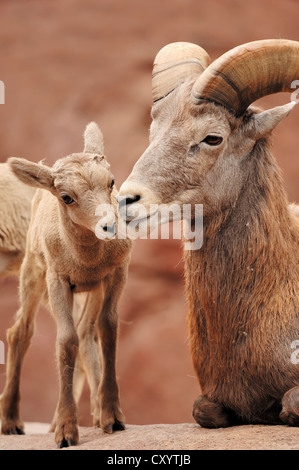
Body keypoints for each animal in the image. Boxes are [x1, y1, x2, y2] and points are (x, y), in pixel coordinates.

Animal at [0, 123, 132, 446]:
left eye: (111, 182)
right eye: (66, 197)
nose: (110, 226)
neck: (86, 260)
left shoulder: (115, 274)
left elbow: (108, 329)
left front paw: (113, 417)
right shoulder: (58, 281)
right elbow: (65, 341)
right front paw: (65, 433)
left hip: (92, 291)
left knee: (87, 333)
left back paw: (97, 414)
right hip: (33, 276)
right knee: (20, 332)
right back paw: (11, 423)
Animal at [119, 41, 299, 426]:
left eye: (212, 138)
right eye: (153, 132)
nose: (126, 199)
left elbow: (290, 404)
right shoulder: (211, 400)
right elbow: (205, 411)